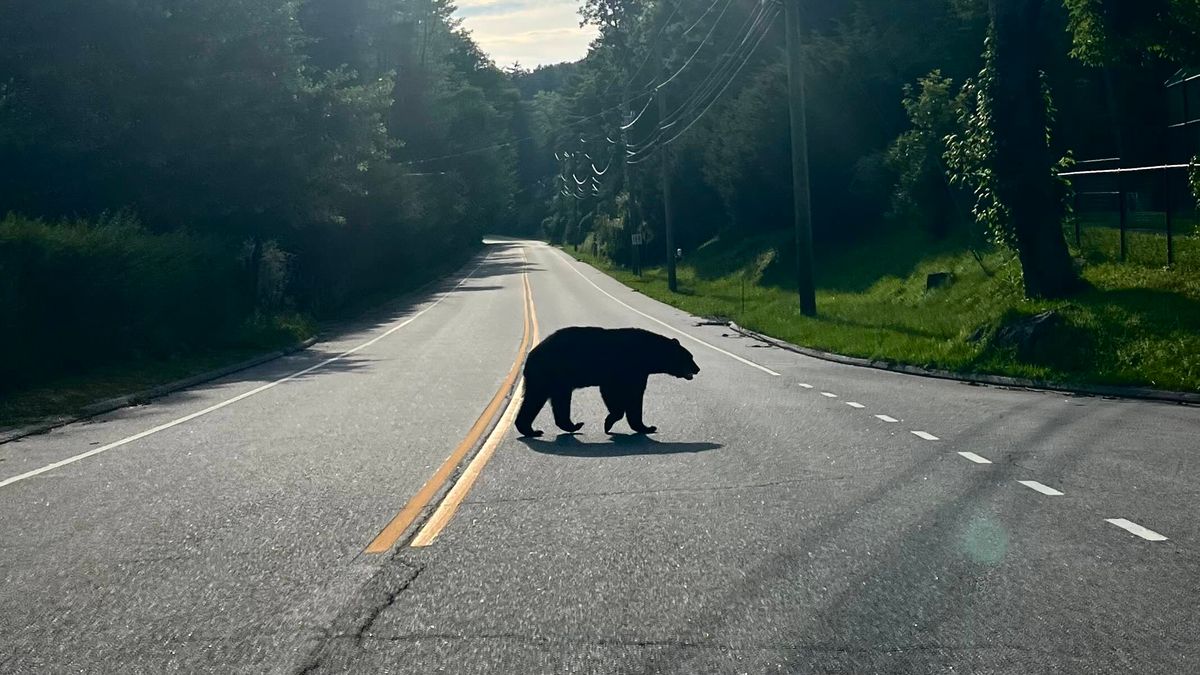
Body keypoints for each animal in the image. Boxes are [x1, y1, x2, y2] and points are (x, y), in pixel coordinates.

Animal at [514, 326, 700, 438]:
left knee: (550, 401)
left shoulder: (637, 373)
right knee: (539, 399)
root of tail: (530, 356)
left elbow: (628, 395)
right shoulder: (627, 369)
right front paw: (641, 426)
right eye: (689, 357)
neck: (647, 353)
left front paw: (638, 426)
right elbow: (624, 396)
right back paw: (539, 429)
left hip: (554, 380)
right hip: (549, 375)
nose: (698, 369)